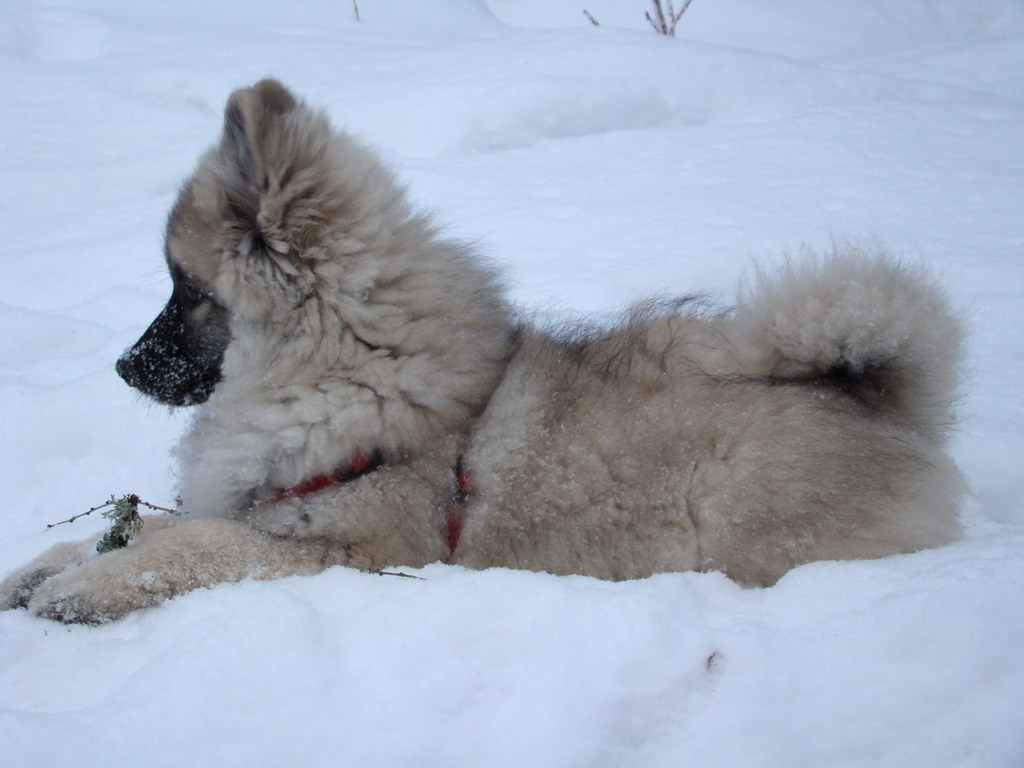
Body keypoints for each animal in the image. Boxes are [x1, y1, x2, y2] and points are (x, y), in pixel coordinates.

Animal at [0, 81, 962, 626]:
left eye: (186, 290)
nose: (123, 366)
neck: (346, 364)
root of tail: (882, 404)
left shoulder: (342, 549)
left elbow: (188, 545)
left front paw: (85, 590)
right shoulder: (265, 506)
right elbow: (144, 527)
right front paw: (41, 568)